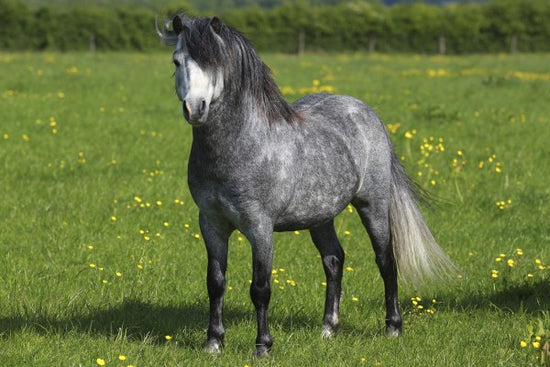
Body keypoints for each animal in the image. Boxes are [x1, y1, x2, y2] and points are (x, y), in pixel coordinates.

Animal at [156, 15, 458, 360]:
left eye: (216, 62)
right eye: (177, 61)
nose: (195, 108)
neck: (241, 145)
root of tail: (366, 112)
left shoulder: (259, 227)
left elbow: (260, 288)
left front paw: (263, 346)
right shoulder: (211, 223)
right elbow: (216, 283)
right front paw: (213, 343)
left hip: (374, 205)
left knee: (386, 260)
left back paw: (393, 328)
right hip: (320, 216)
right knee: (334, 260)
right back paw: (328, 329)